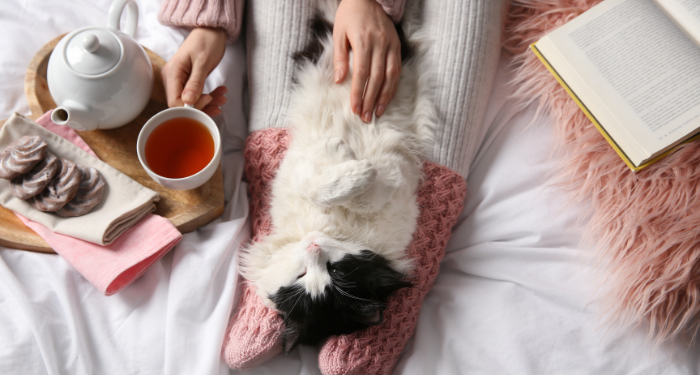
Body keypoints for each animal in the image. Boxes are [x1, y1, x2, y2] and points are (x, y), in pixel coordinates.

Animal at [243, 0, 434, 354]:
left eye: (335, 269)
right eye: (302, 275)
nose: (313, 246)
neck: (332, 228)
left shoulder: (396, 182)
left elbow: (355, 188)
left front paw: (348, 160)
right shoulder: (297, 172)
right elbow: (321, 183)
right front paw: (347, 160)